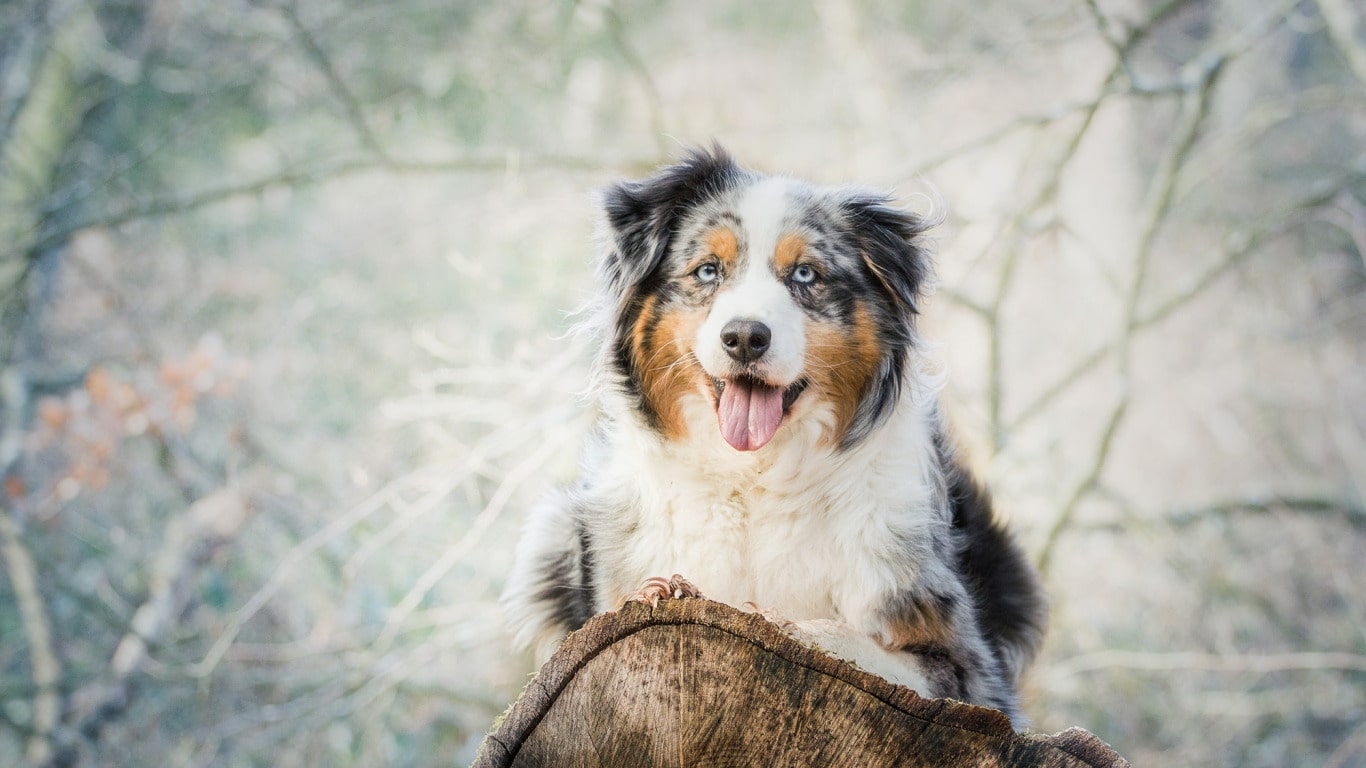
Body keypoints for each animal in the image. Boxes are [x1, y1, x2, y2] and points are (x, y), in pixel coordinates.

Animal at [502, 143, 1043, 721]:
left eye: (805, 274)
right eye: (708, 270)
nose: (744, 337)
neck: (755, 478)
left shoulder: (970, 671)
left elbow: (856, 643)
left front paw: (789, 623)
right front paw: (665, 591)